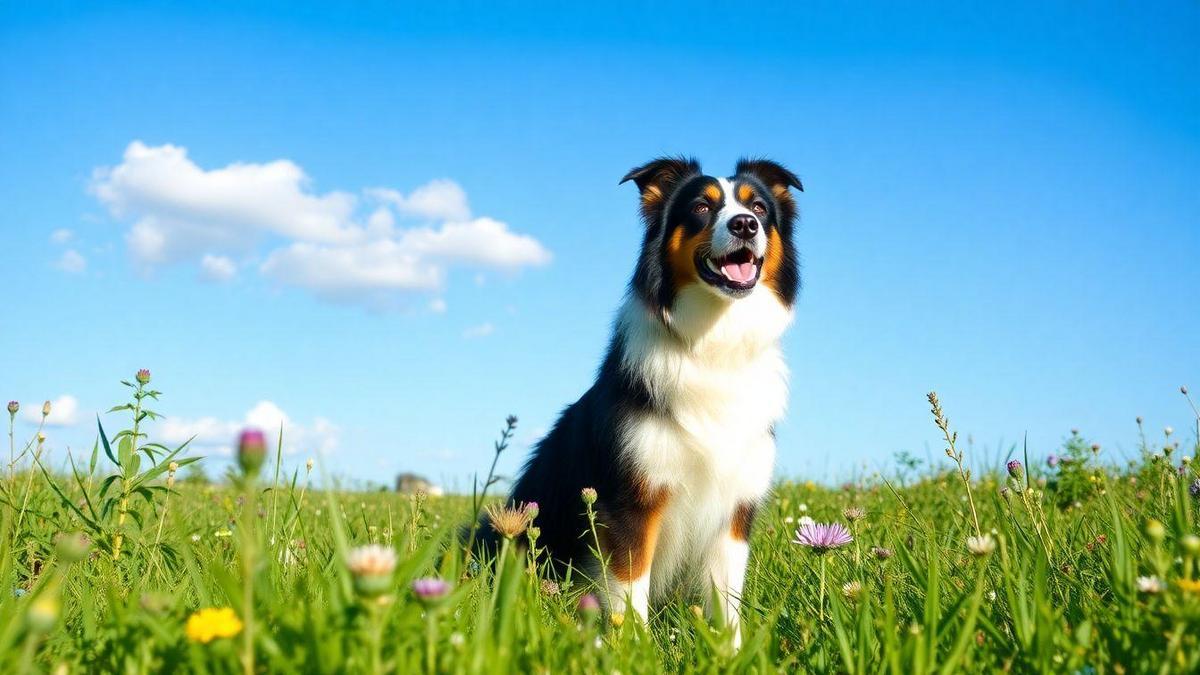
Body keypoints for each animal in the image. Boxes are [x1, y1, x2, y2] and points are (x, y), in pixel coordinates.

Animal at [501, 154, 801, 643]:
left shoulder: (734, 508)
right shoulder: (630, 501)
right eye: (701, 207)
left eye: (758, 206)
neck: (713, 342)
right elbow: (629, 587)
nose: (744, 224)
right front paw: (632, 647)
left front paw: (733, 651)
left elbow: (727, 599)